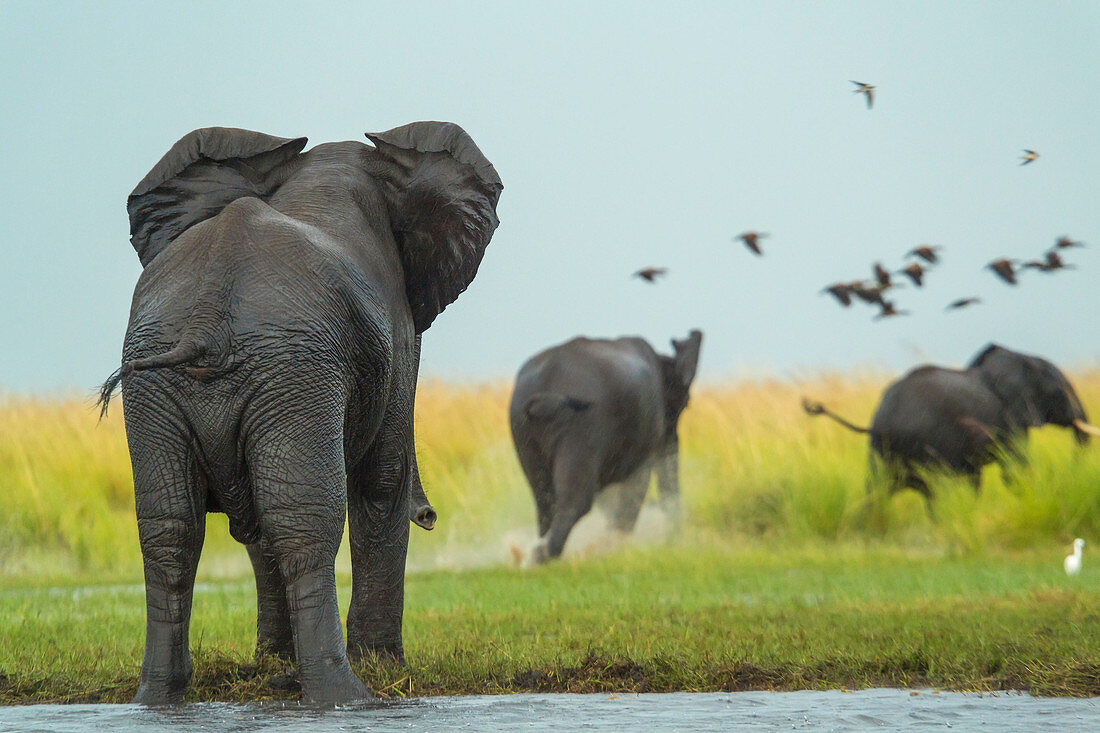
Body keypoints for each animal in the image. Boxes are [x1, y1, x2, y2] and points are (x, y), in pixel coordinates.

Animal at [99, 121, 503, 704]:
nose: (430, 516)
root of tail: (208, 314)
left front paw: (274, 662)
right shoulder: (396, 333)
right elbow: (382, 478)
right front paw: (381, 661)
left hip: (167, 385)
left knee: (171, 529)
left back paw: (157, 697)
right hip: (292, 373)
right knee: (304, 523)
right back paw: (346, 694)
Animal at [508, 327, 704, 561]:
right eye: (686, 404)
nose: (673, 542)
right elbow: (636, 484)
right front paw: (618, 547)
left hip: (523, 429)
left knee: (545, 500)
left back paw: (535, 552)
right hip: (584, 425)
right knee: (578, 500)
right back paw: (543, 555)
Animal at [805, 338, 1095, 493]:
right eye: (1060, 392)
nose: (1070, 473)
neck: (1021, 357)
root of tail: (882, 423)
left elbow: (976, 477)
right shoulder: (1009, 421)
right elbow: (1014, 470)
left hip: (880, 451)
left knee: (876, 489)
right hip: (927, 445)